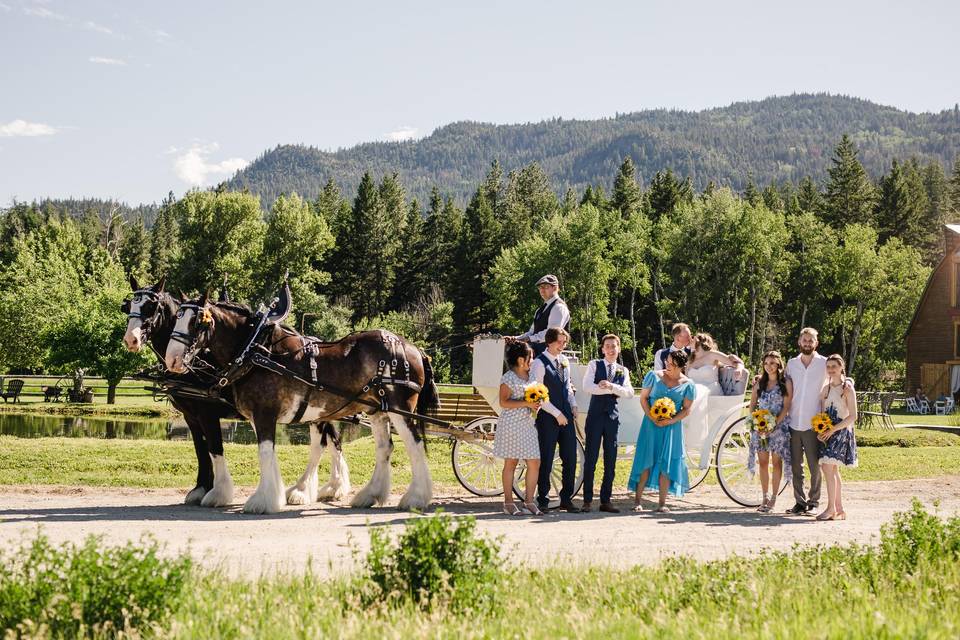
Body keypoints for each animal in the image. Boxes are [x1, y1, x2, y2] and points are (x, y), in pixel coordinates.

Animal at [122, 278, 350, 508]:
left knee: (321, 442)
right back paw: (334, 486)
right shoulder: (190, 416)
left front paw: (217, 492)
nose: (130, 340)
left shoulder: (207, 413)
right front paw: (201, 487)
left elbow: (214, 448)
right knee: (333, 439)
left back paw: (304, 489)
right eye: (128, 306)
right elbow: (200, 449)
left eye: (151, 307)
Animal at [162, 296, 438, 516]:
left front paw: (261, 500)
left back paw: (415, 497)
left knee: (414, 446)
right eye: (176, 319)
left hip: (399, 408)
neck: (256, 352)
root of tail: (413, 348)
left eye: (197, 322)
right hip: (377, 409)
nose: (172, 360)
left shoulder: (262, 414)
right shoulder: (257, 416)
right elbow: (267, 453)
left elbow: (261, 453)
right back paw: (369, 494)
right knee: (384, 448)